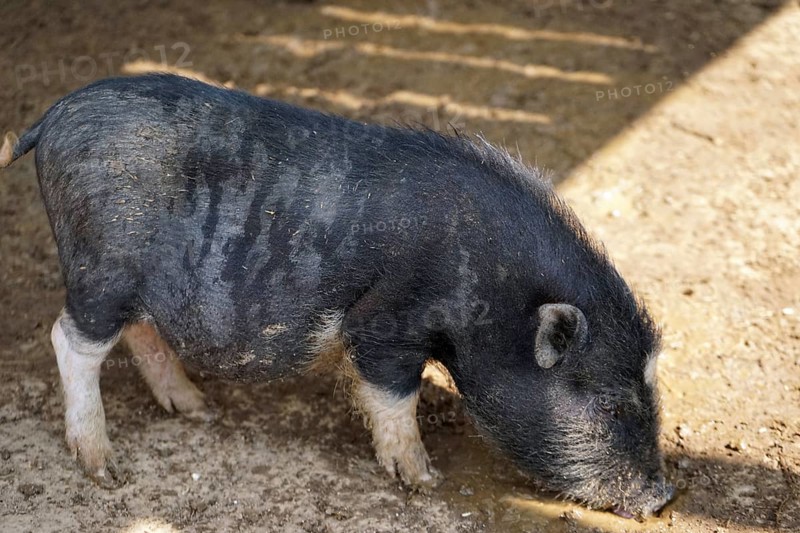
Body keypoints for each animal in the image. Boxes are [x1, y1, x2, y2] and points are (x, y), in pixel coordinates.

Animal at [0, 74, 674, 518]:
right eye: (609, 405)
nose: (665, 497)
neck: (493, 293)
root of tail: (54, 117)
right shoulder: (386, 320)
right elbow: (394, 391)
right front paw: (421, 480)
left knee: (139, 332)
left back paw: (197, 409)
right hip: (101, 264)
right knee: (70, 340)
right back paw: (105, 469)